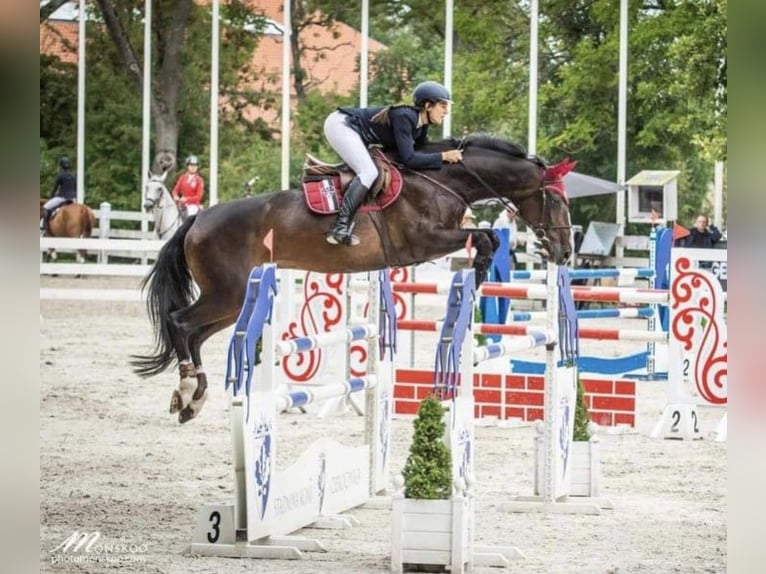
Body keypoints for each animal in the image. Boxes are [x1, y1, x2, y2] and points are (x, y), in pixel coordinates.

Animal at [132, 134, 576, 423]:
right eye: (556, 198)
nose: (564, 251)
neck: (441, 179)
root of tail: (197, 220)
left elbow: (487, 236)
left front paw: (479, 273)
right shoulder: (424, 242)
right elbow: (485, 236)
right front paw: (480, 269)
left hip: (231, 301)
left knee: (193, 334)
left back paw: (192, 400)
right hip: (227, 294)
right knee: (180, 323)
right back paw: (187, 393)